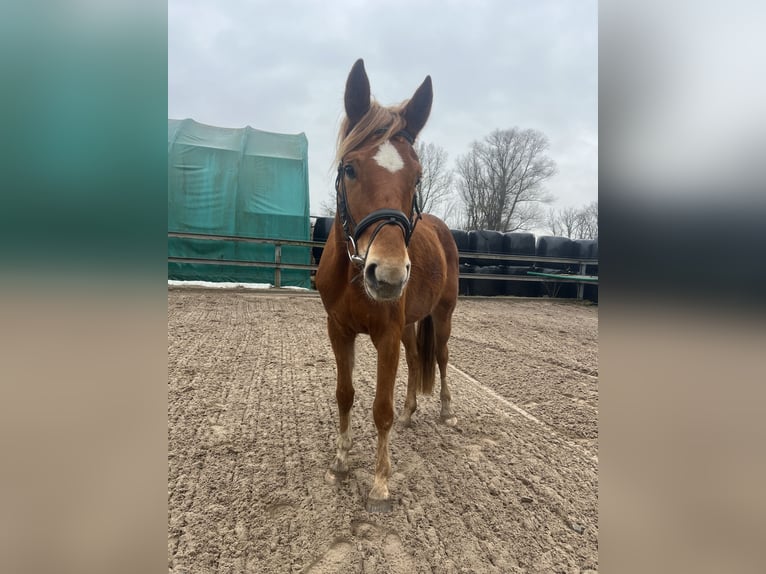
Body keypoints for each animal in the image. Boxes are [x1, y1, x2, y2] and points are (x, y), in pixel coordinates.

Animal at [315, 59, 459, 513]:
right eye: (350, 168)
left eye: (417, 176)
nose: (389, 275)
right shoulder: (339, 331)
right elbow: (345, 394)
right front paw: (341, 461)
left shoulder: (386, 335)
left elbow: (381, 408)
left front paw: (380, 484)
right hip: (411, 324)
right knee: (416, 361)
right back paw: (412, 412)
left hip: (442, 316)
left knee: (441, 357)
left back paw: (446, 411)